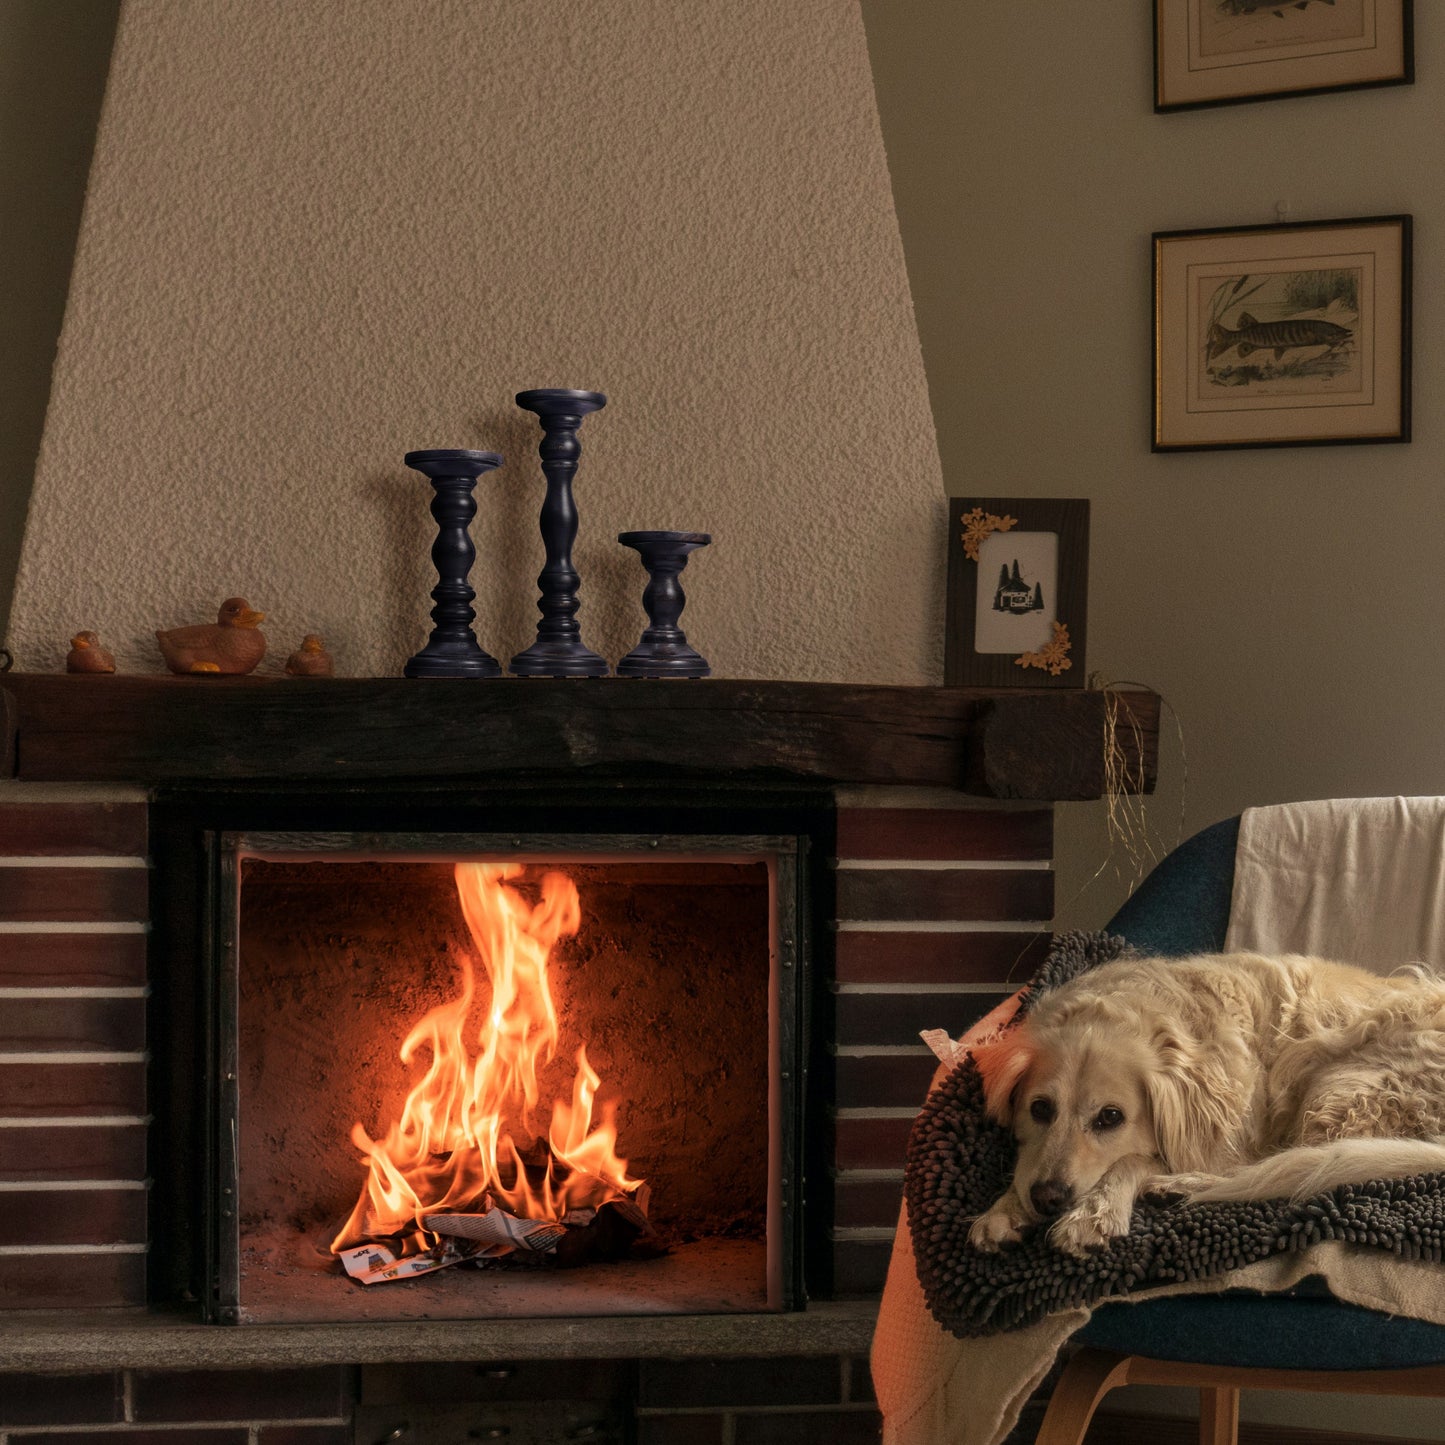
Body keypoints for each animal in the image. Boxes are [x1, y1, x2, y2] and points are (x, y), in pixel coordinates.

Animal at [965, 947, 1445, 1254]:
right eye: (1040, 1109)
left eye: (1110, 1117)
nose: (1049, 1199)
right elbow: (1026, 1169)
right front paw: (1003, 1209)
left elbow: (1134, 1159)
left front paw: (1094, 1212)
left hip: (1337, 1088)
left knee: (1286, 1170)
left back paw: (1181, 1185)